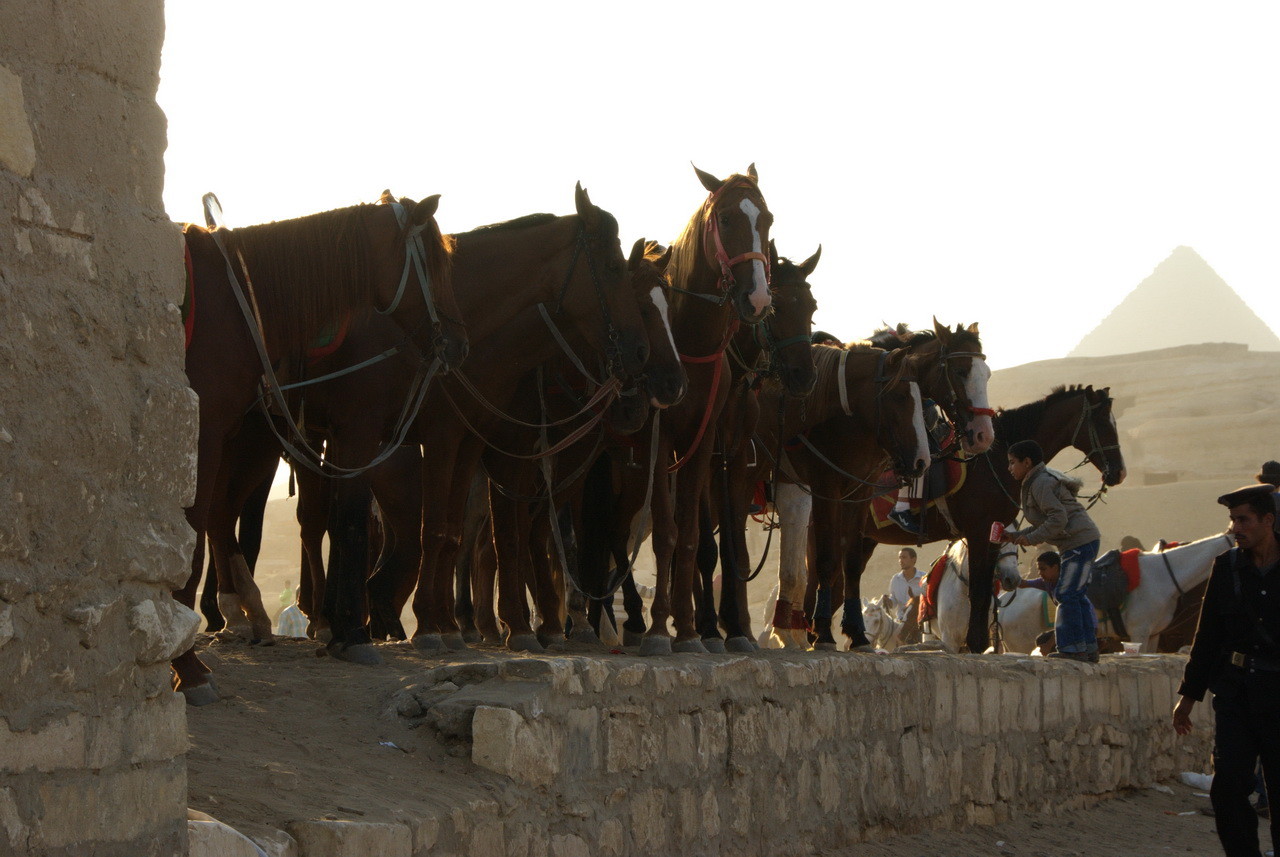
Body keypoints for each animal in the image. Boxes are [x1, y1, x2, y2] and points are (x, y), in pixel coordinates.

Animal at [176, 194, 460, 706]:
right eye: (433, 264)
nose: (457, 342)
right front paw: (186, 669)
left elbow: (340, 519)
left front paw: (342, 628)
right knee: (219, 516)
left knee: (224, 516)